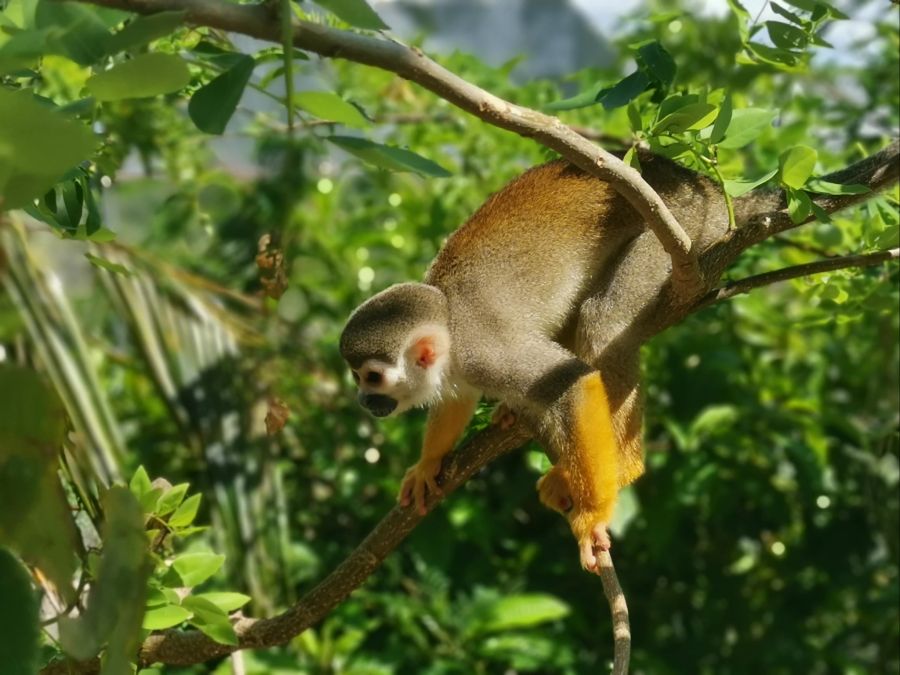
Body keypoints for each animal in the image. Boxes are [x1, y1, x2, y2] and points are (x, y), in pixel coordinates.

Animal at [342, 153, 728, 572]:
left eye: (373, 377)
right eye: (356, 377)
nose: (363, 400)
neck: (451, 328)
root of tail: (700, 183)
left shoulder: (485, 352)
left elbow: (574, 381)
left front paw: (593, 514)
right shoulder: (461, 367)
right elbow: (457, 399)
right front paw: (429, 463)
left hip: (678, 228)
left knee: (602, 323)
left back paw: (625, 466)